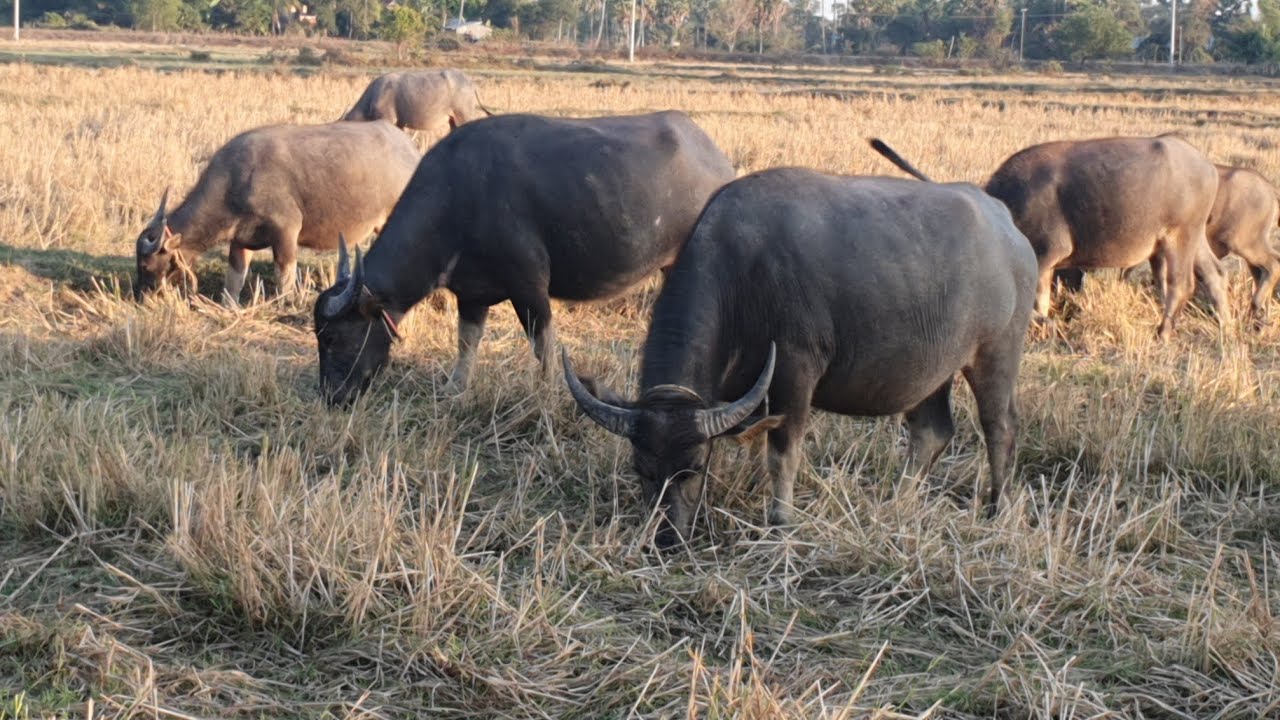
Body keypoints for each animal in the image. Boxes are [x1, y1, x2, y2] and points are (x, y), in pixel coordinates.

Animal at [135, 121, 419, 302]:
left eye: (146, 266)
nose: (141, 296)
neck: (237, 179)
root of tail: (409, 149)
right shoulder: (241, 240)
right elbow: (234, 279)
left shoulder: (285, 231)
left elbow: (284, 276)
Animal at [314, 111, 736, 406]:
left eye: (333, 337)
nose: (332, 397)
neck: (457, 198)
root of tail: (716, 159)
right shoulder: (472, 294)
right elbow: (467, 342)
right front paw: (454, 389)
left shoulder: (529, 286)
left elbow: (543, 346)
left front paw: (547, 394)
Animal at [563, 155, 1037, 547]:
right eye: (640, 468)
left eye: (694, 467)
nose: (666, 539)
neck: (742, 276)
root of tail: (1007, 227)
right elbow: (756, 441)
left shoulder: (796, 372)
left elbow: (782, 453)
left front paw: (780, 520)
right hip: (933, 371)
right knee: (931, 431)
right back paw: (898, 504)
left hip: (996, 353)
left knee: (1000, 428)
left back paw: (996, 509)